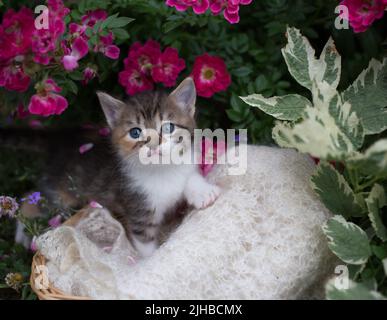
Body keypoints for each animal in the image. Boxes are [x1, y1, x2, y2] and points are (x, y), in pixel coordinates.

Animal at [15, 77, 221, 258]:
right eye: (135, 132)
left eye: (168, 127)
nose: (153, 145)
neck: (161, 170)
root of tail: (61, 138)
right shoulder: (138, 210)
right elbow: (145, 245)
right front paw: (148, 263)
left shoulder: (187, 164)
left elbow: (190, 176)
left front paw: (204, 193)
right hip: (61, 192)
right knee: (32, 197)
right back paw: (23, 233)